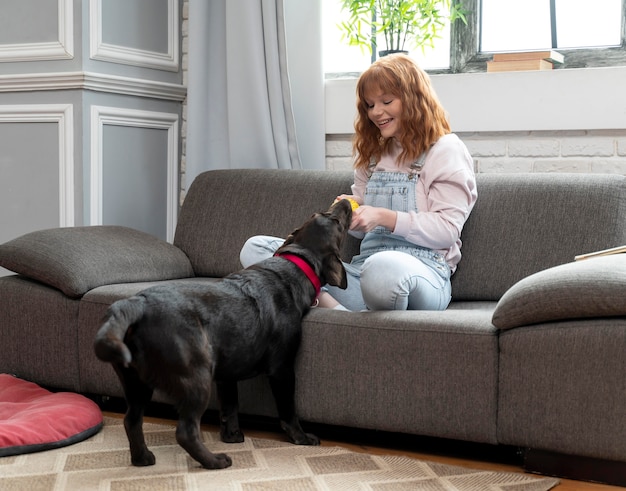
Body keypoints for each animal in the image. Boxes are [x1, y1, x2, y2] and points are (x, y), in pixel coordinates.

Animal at [92, 199, 352, 468]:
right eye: (337, 222)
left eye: (318, 213)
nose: (344, 201)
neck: (295, 263)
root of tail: (137, 303)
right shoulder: (282, 368)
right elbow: (288, 409)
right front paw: (301, 438)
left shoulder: (228, 371)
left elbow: (230, 407)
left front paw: (232, 436)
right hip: (196, 376)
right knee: (185, 431)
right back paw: (214, 461)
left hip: (136, 382)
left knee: (131, 420)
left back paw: (143, 458)